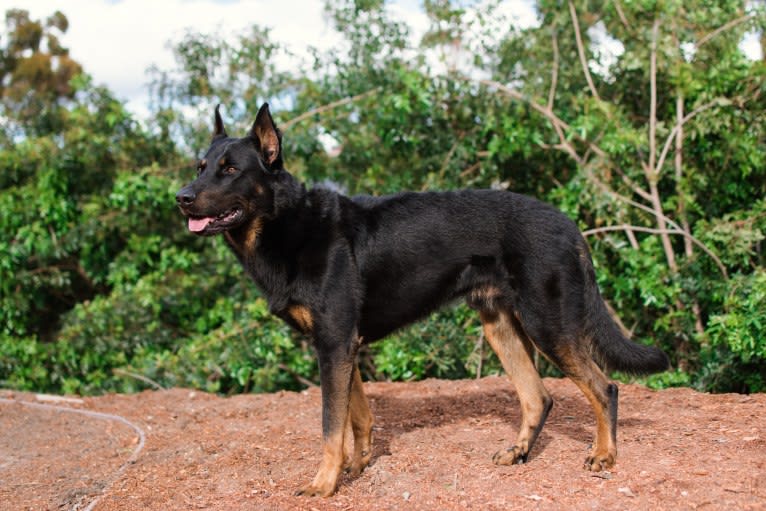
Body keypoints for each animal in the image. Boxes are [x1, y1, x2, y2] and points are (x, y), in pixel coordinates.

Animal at [177, 103, 668, 496]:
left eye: (230, 169)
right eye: (201, 166)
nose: (181, 198)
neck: (287, 223)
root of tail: (571, 226)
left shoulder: (334, 345)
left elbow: (331, 425)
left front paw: (324, 484)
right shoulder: (344, 347)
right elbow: (358, 417)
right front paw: (356, 468)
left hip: (547, 325)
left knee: (604, 387)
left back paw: (604, 455)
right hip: (502, 328)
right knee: (538, 397)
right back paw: (518, 453)